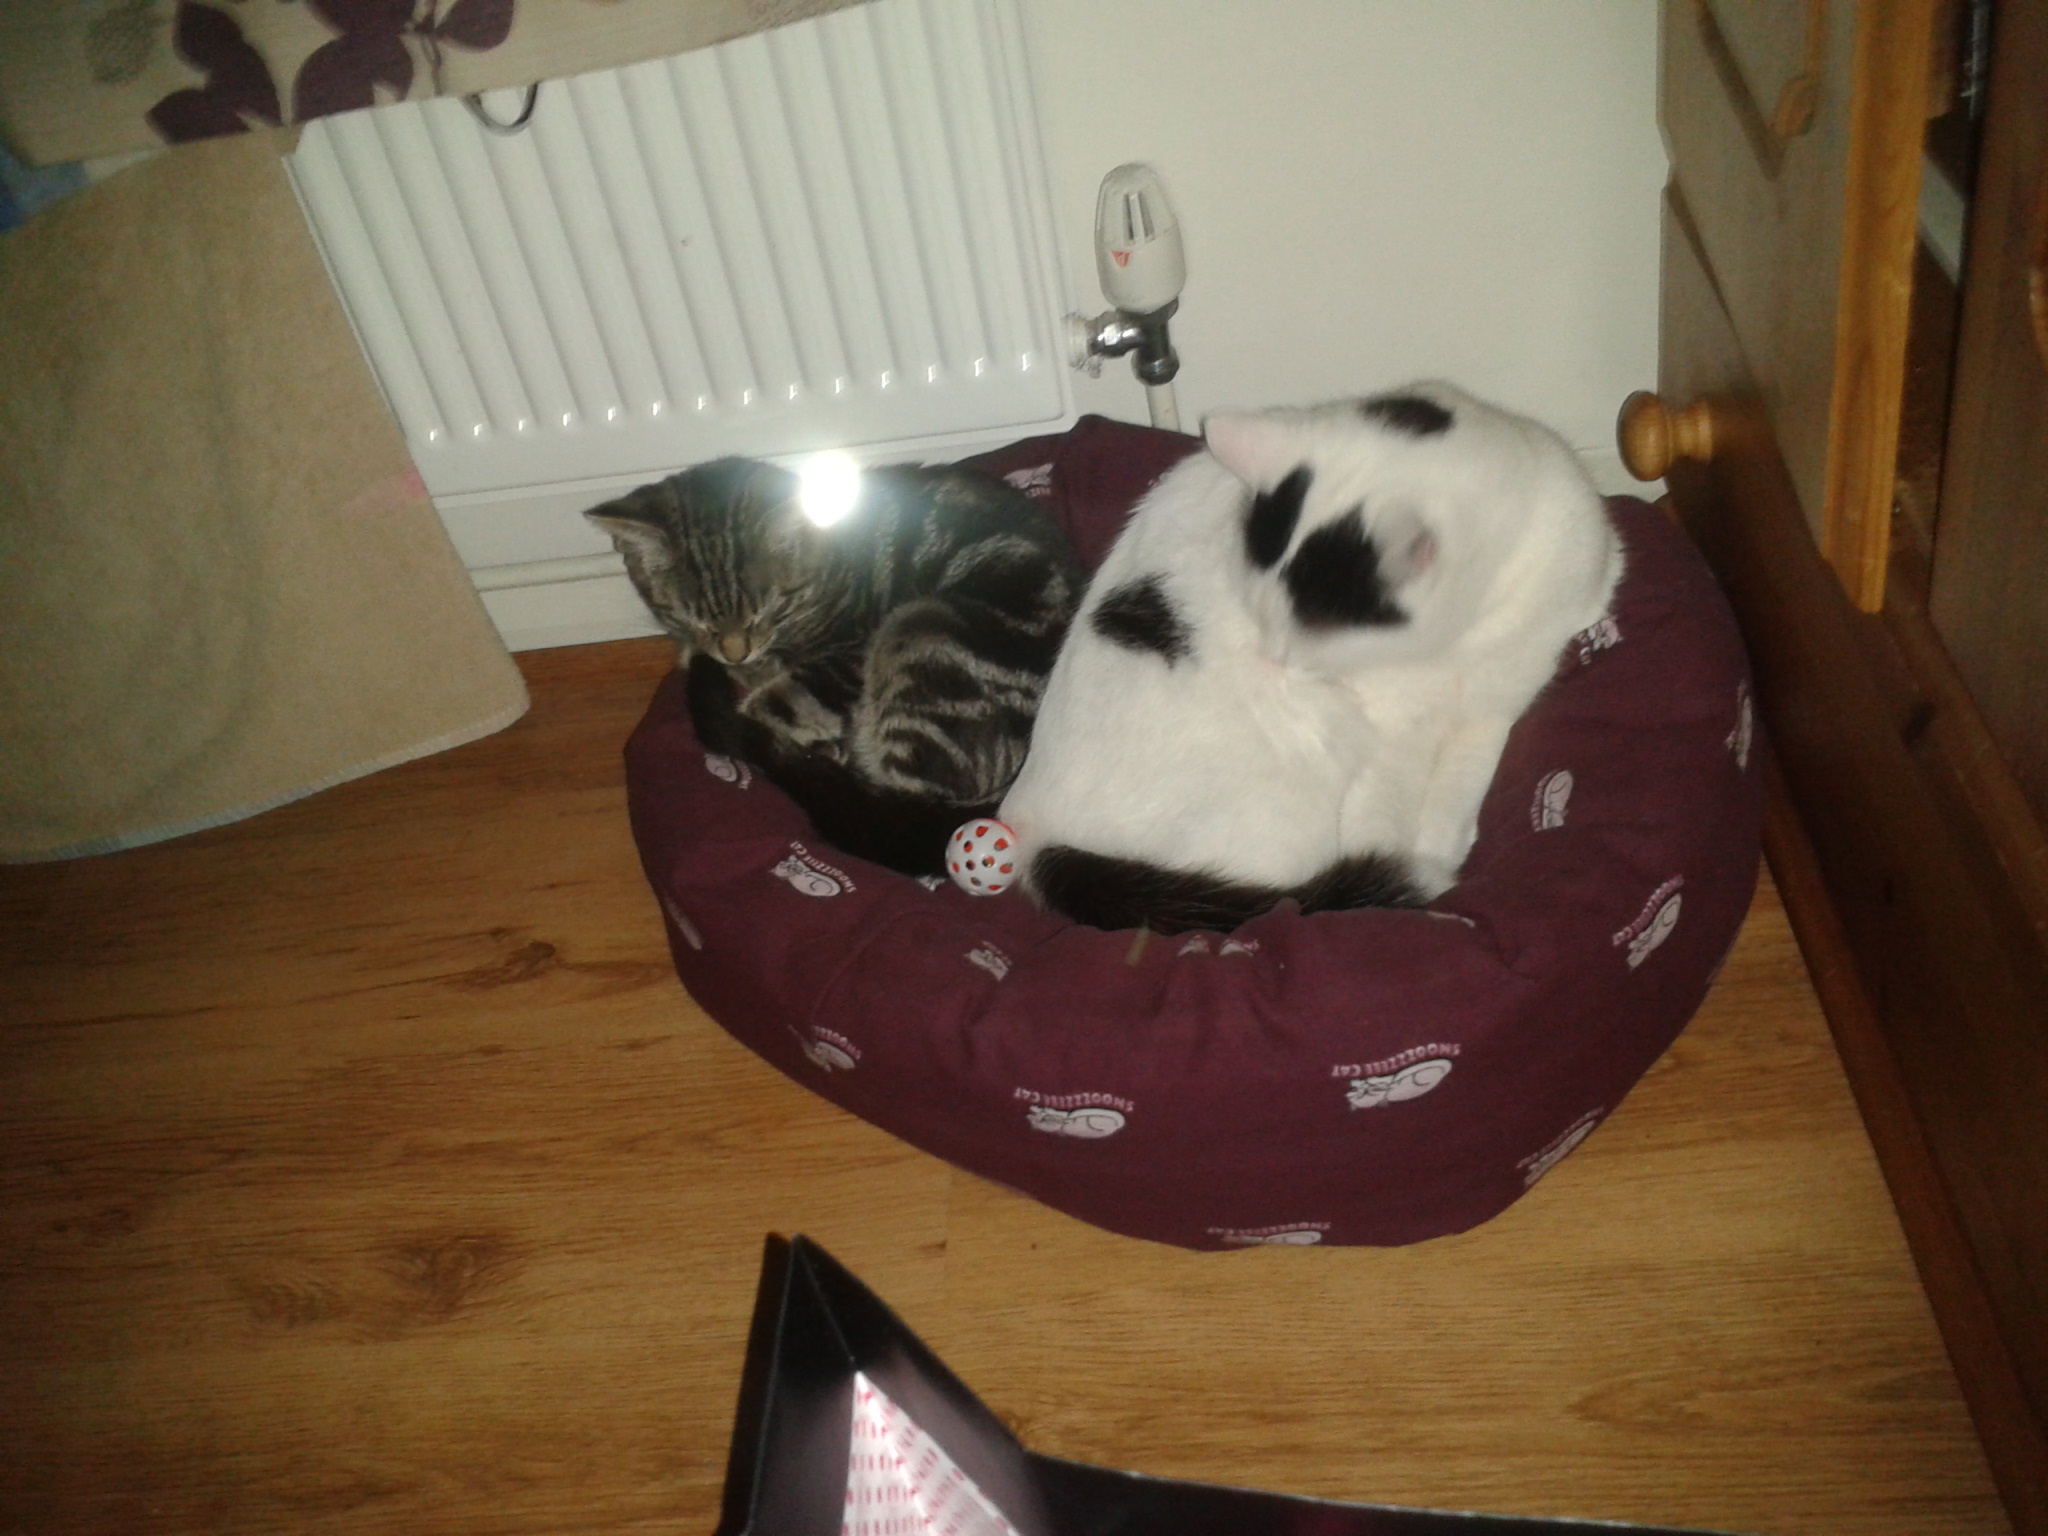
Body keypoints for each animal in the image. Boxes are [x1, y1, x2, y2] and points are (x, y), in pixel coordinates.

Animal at [587, 455, 1083, 876]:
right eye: (695, 618)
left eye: (764, 611)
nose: (733, 650)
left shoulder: (845, 658)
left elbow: (776, 702)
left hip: (922, 629)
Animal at [997, 381, 1625, 934]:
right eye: (1259, 613)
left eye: (1313, 637)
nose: (1275, 660)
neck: (1465, 638)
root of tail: (1028, 826)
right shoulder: (1391, 730)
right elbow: (1383, 806)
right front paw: (1411, 870)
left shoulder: (1504, 691)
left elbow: (1466, 771)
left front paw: (1442, 843)